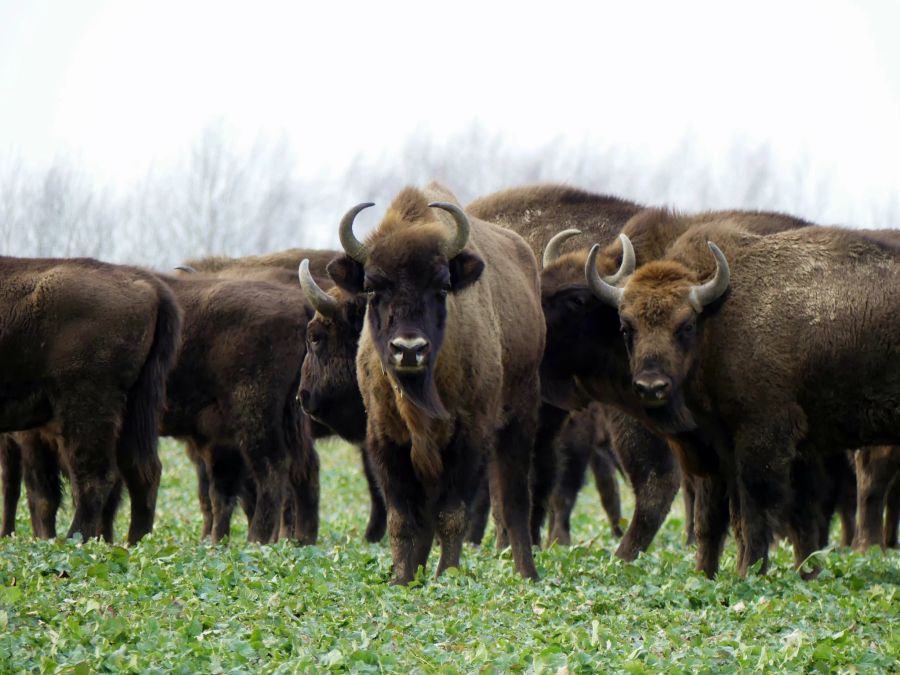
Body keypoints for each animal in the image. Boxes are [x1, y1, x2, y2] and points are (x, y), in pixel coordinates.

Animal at [0, 258, 181, 544]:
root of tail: (149, 285)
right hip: (134, 408)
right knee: (142, 471)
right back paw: (135, 543)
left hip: (86, 404)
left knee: (95, 477)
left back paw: (72, 542)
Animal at [326, 185, 544, 588]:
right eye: (372, 287)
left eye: (442, 286)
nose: (409, 349)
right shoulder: (386, 439)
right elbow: (402, 518)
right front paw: (401, 578)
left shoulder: (468, 437)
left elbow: (452, 514)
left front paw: (448, 575)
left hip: (519, 419)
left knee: (516, 501)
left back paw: (527, 574)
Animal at [588, 222, 900, 576]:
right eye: (626, 327)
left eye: (686, 325)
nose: (651, 387)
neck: (719, 318)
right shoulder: (719, 451)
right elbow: (717, 519)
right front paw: (707, 574)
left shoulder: (761, 438)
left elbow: (754, 513)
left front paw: (748, 573)